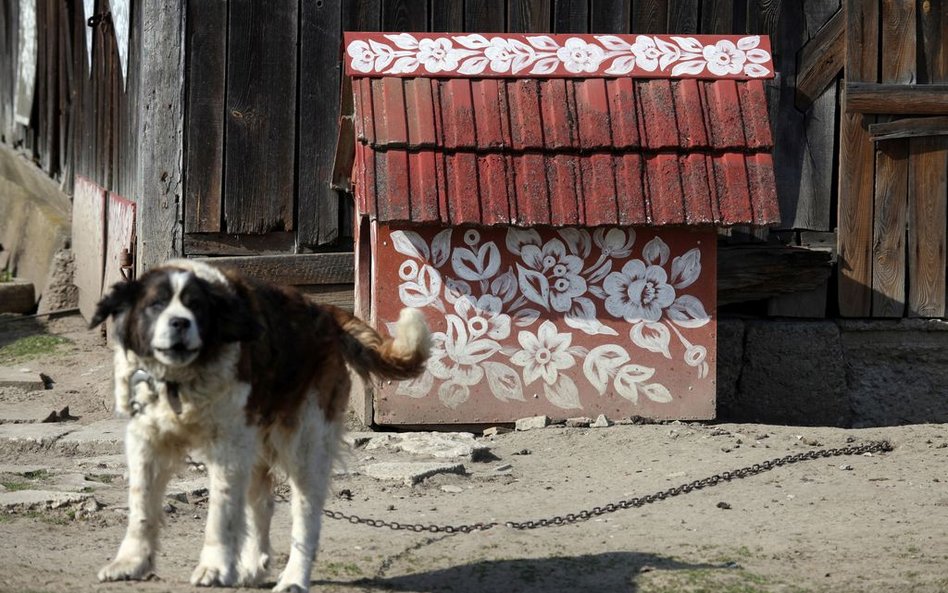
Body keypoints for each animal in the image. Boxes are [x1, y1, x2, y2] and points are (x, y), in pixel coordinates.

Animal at [90, 260, 432, 592]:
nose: (180, 323)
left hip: (304, 444)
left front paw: (214, 567)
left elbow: (221, 511)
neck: (181, 380)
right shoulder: (146, 440)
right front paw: (131, 563)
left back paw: (294, 578)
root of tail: (323, 311)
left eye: (196, 306)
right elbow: (141, 504)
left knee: (306, 514)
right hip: (255, 442)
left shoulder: (228, 447)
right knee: (262, 503)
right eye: (156, 304)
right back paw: (253, 568)